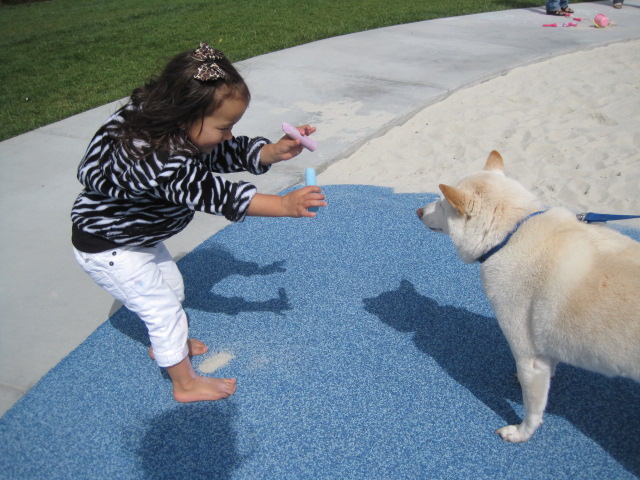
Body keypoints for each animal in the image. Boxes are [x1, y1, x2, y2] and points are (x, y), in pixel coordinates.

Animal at [416, 150, 640, 442]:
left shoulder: (529, 358)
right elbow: (549, 367)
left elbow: (533, 408)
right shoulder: (543, 350)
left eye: (442, 203)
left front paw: (522, 433)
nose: (418, 211)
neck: (513, 232)